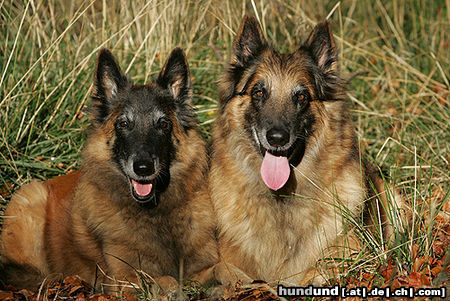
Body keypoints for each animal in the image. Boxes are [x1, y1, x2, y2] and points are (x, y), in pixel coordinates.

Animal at [0, 47, 239, 290]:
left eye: (163, 124)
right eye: (123, 124)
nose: (143, 168)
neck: (155, 213)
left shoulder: (199, 267)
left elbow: (223, 267)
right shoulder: (124, 278)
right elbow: (164, 278)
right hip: (31, 196)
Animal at [210, 15, 404, 284]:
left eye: (301, 97)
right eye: (258, 92)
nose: (277, 138)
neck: (281, 199)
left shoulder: (358, 253)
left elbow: (320, 268)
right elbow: (224, 269)